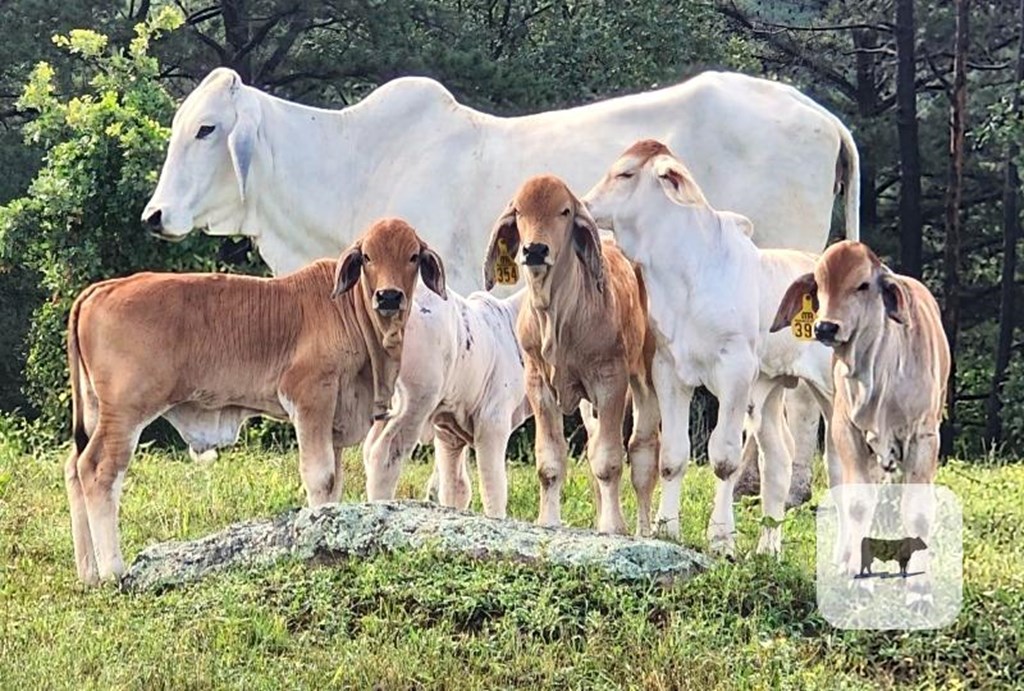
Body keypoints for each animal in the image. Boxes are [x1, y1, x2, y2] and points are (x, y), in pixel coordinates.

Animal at [64, 218, 444, 585]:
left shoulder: (334, 420)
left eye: (412, 256)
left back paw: (88, 573)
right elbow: (319, 476)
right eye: (367, 257)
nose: (389, 297)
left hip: (96, 412)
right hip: (125, 413)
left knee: (73, 467)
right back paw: (111, 570)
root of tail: (100, 289)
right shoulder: (311, 398)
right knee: (97, 470)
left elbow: (334, 482)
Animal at [483, 173, 659, 536]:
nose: (535, 249)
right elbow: (550, 460)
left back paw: (643, 530)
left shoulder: (610, 381)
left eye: (564, 211)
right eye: (519, 211)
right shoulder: (538, 384)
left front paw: (613, 528)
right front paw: (548, 520)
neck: (557, 318)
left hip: (646, 378)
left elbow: (609, 460)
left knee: (643, 452)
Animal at [581, 142, 835, 556]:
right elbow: (672, 456)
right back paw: (768, 549)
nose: (585, 205)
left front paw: (720, 539)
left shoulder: (735, 372)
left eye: (625, 173)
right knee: (777, 460)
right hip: (769, 390)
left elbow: (724, 459)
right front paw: (667, 529)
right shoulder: (668, 371)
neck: (687, 275)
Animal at [770, 243, 946, 601]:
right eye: (819, 286)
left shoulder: (924, 437)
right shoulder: (847, 432)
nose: (825, 328)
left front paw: (919, 588)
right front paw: (857, 574)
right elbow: (857, 504)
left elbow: (918, 509)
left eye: (863, 285)